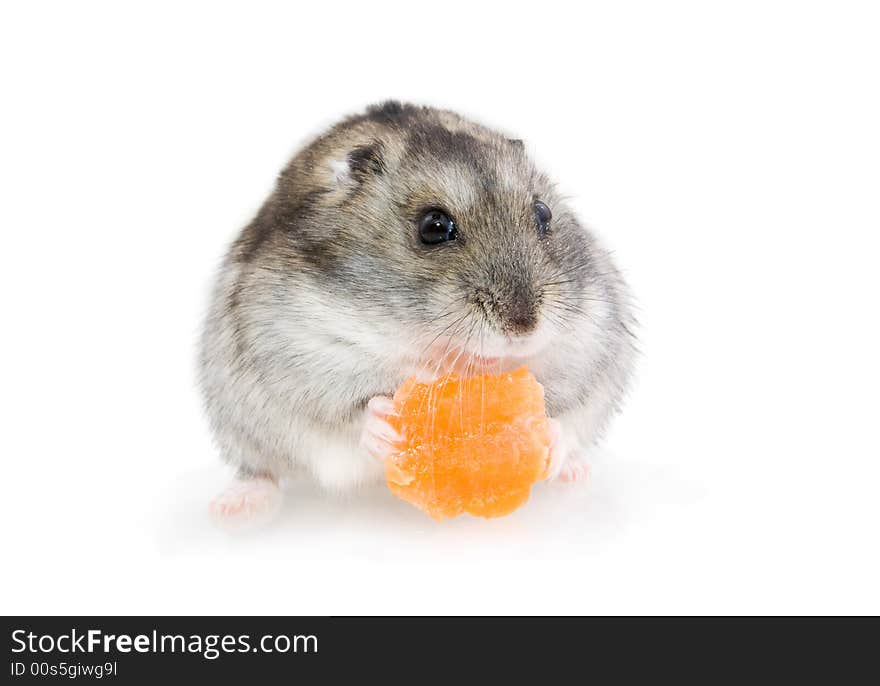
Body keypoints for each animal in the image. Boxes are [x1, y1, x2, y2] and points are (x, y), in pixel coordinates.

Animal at [199, 102, 636, 528]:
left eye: (544, 214)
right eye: (434, 227)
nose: (524, 327)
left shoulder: (590, 338)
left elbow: (566, 410)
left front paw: (551, 439)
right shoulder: (299, 353)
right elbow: (348, 409)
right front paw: (385, 421)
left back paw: (576, 474)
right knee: (262, 471)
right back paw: (232, 508)